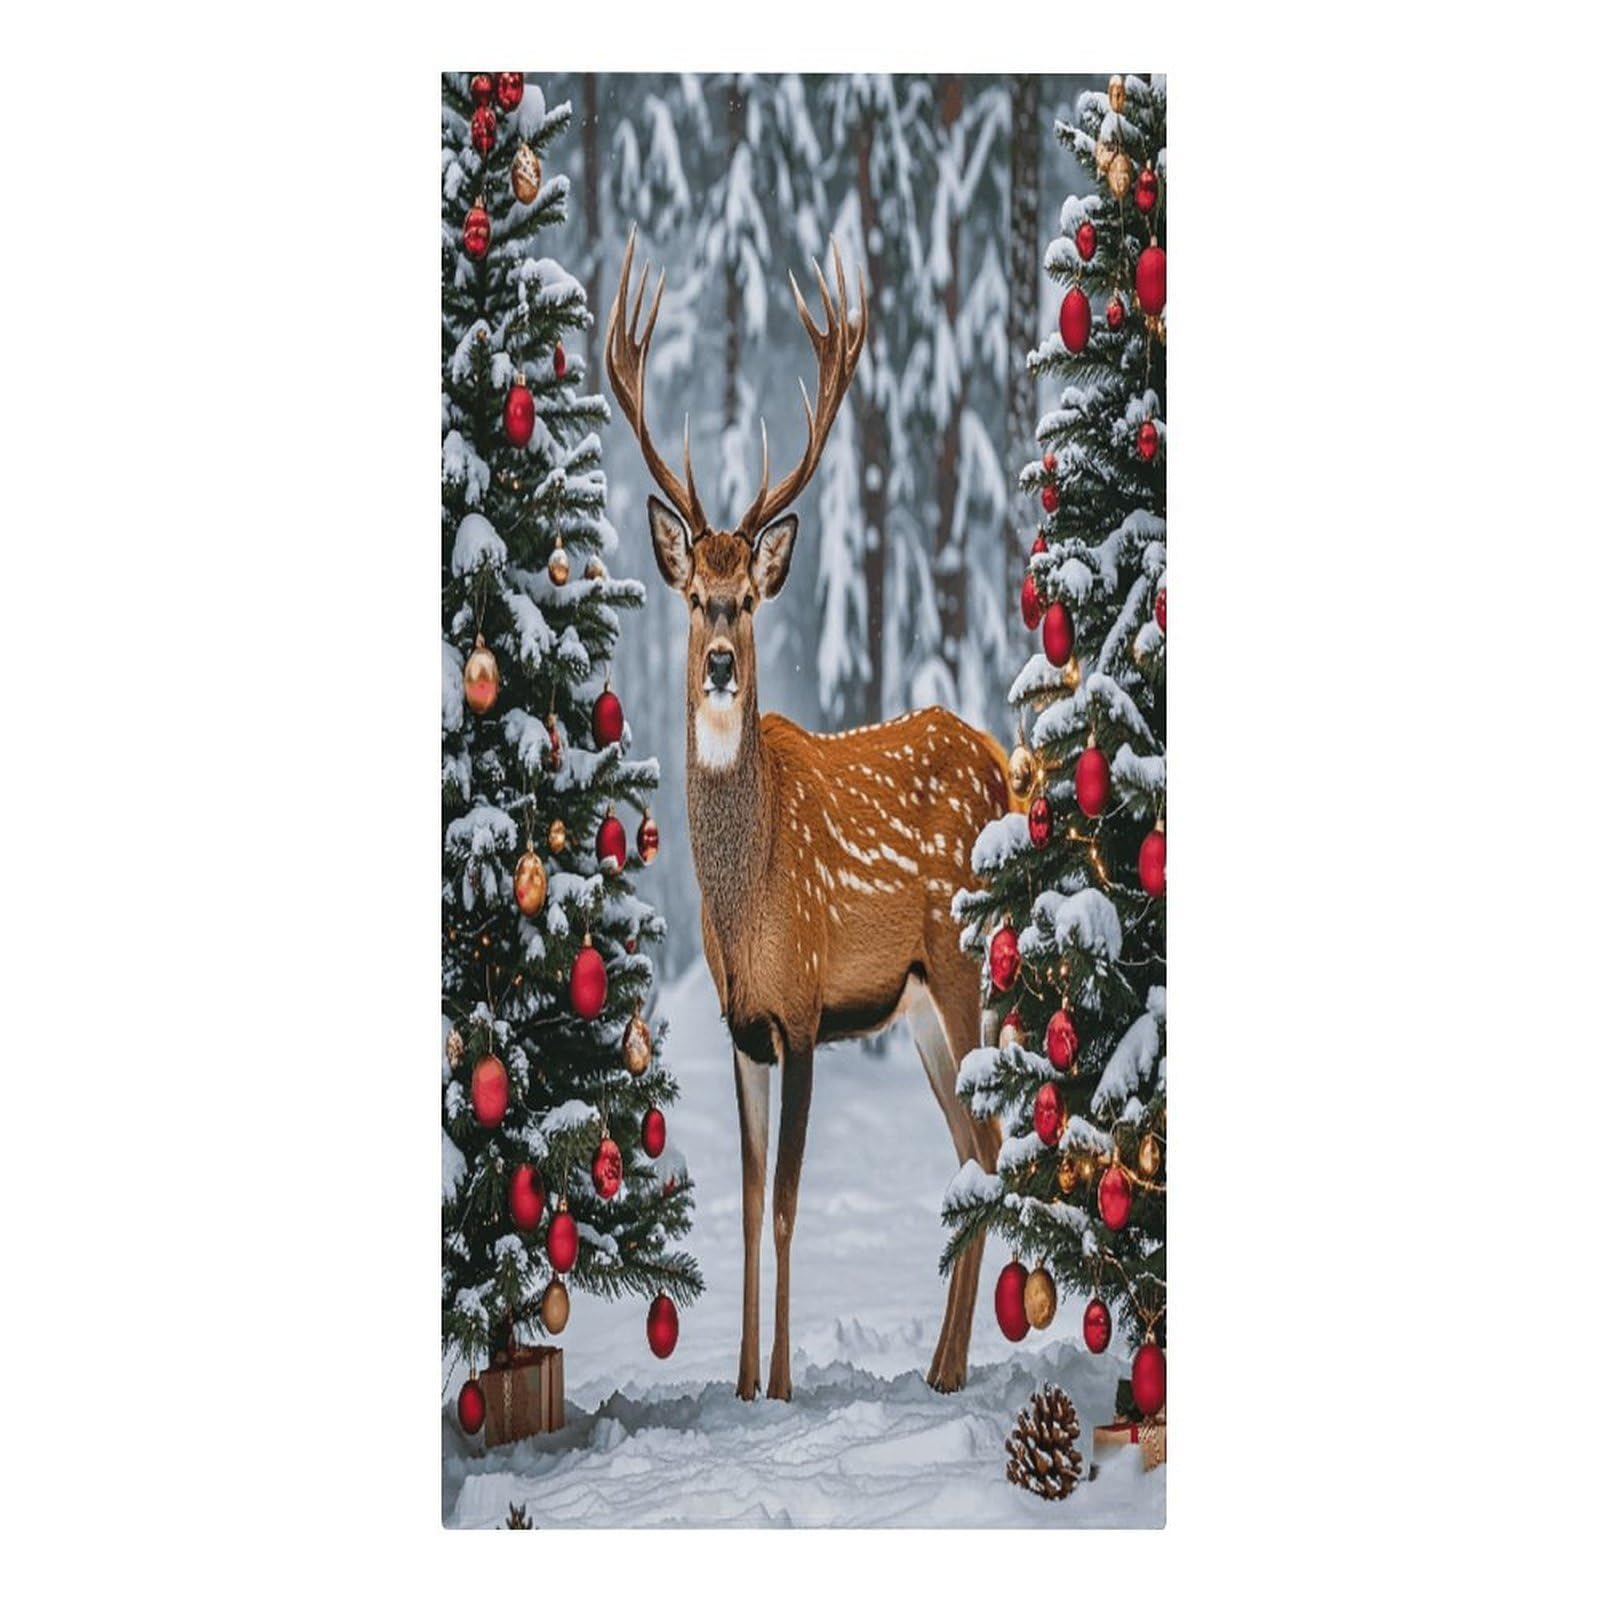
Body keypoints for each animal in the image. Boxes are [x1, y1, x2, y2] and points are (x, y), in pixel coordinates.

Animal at [606, 229, 1013, 1400]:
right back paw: (940, 1370)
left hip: (965, 960)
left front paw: (784, 1386)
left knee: (990, 1148)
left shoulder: (804, 1005)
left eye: (750, 596)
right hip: (921, 1003)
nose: (721, 662)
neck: (745, 902)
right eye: (693, 592)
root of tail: (1004, 765)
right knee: (970, 1154)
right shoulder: (744, 1021)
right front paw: (744, 1384)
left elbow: (787, 1207)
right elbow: (744, 1209)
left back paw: (948, 1369)